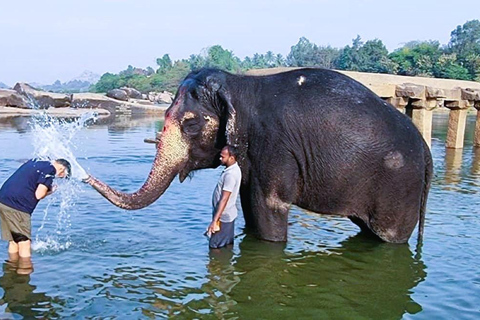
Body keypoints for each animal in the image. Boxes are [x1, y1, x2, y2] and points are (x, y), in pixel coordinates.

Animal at [84, 67, 434, 242]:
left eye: (191, 124)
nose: (82, 175)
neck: (241, 86)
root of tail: (426, 150)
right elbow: (247, 204)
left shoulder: (276, 146)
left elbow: (269, 206)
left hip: (400, 188)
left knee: (389, 238)